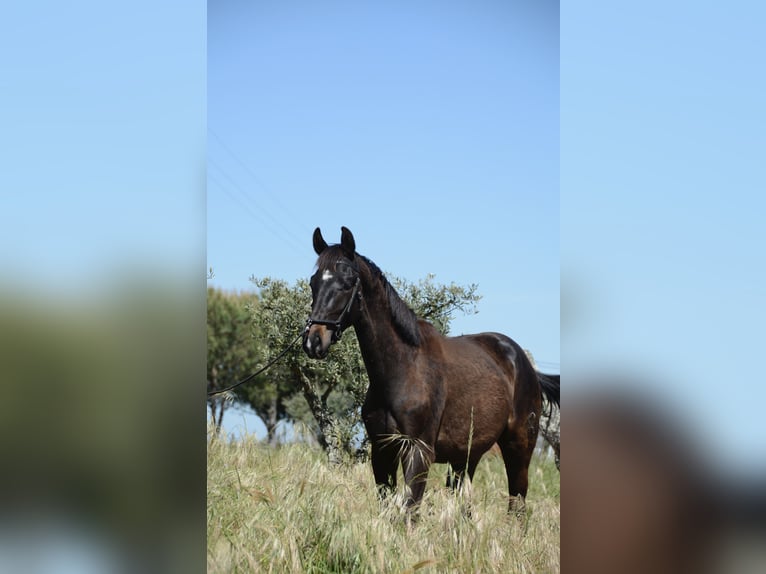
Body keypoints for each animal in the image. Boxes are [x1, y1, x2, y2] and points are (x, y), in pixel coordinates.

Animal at [302, 226, 560, 515]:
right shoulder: (382, 451)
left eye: (347, 283)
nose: (313, 341)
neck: (404, 369)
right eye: (314, 282)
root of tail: (525, 365)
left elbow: (408, 512)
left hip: (518, 449)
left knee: (517, 506)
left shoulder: (418, 452)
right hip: (465, 458)